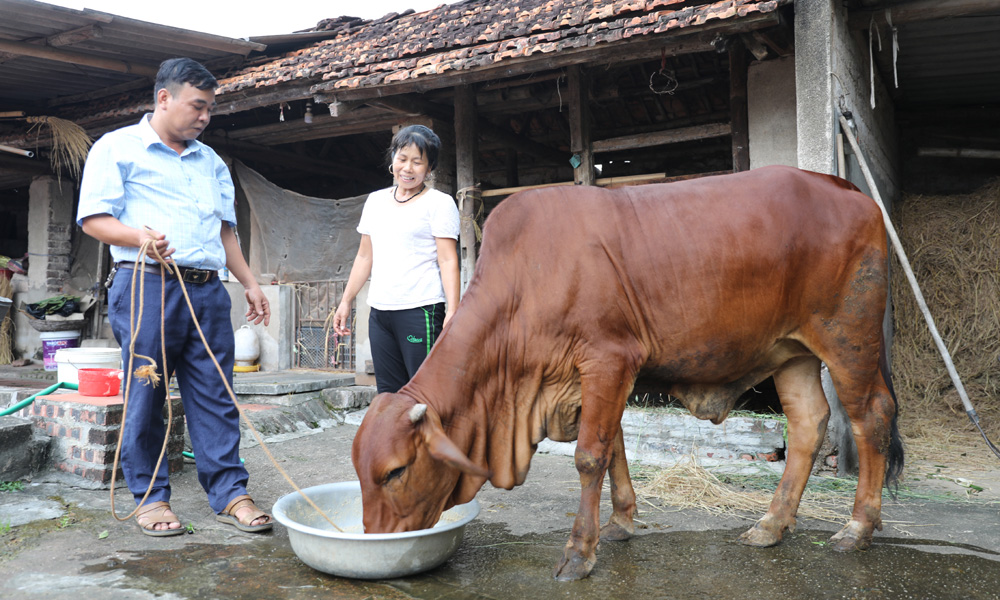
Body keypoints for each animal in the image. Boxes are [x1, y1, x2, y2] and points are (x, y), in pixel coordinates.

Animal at [354, 165, 908, 580]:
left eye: (395, 471)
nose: (375, 539)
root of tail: (854, 194)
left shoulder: (609, 358)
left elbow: (589, 456)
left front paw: (579, 552)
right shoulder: (597, 377)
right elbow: (615, 446)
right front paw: (620, 522)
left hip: (847, 339)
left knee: (871, 417)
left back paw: (856, 528)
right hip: (793, 351)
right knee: (809, 423)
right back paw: (771, 525)